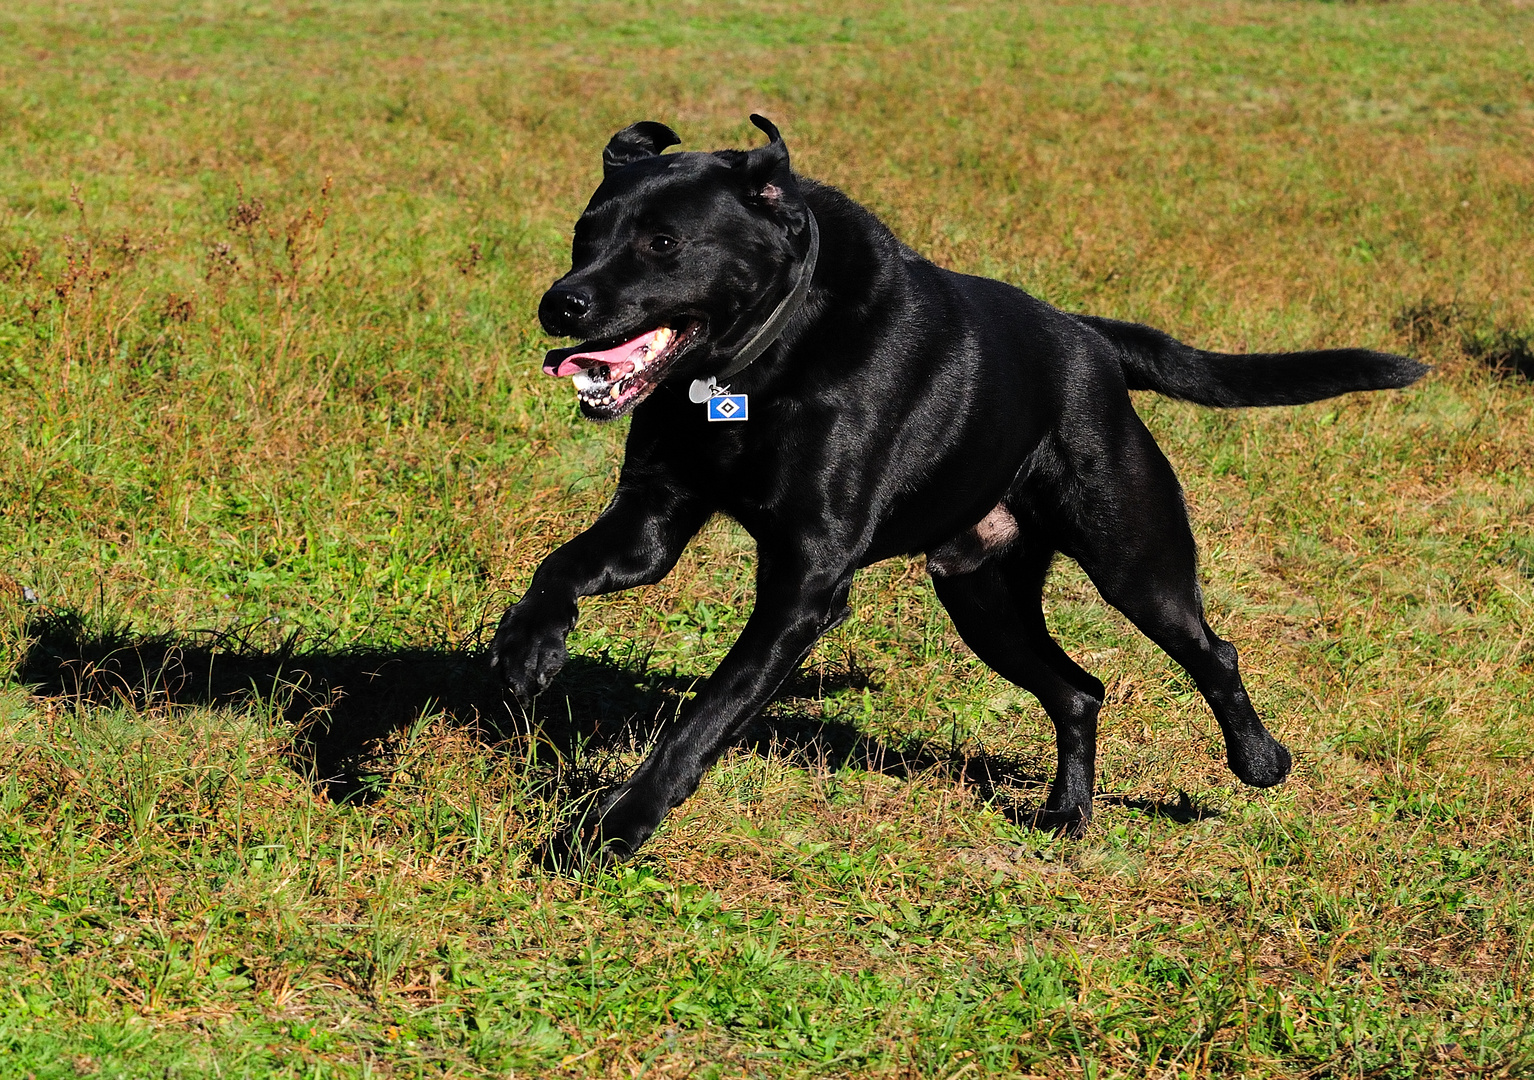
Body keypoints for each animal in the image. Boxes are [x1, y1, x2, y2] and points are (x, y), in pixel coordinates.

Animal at [493, 115, 1423, 871]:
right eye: (584, 233)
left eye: (663, 243)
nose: (560, 304)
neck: (758, 367)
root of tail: (1091, 341)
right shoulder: (652, 520)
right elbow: (559, 568)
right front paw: (524, 651)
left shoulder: (805, 585)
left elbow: (704, 717)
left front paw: (613, 828)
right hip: (985, 597)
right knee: (1080, 689)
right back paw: (1066, 813)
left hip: (1134, 561)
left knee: (1211, 652)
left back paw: (1260, 761)